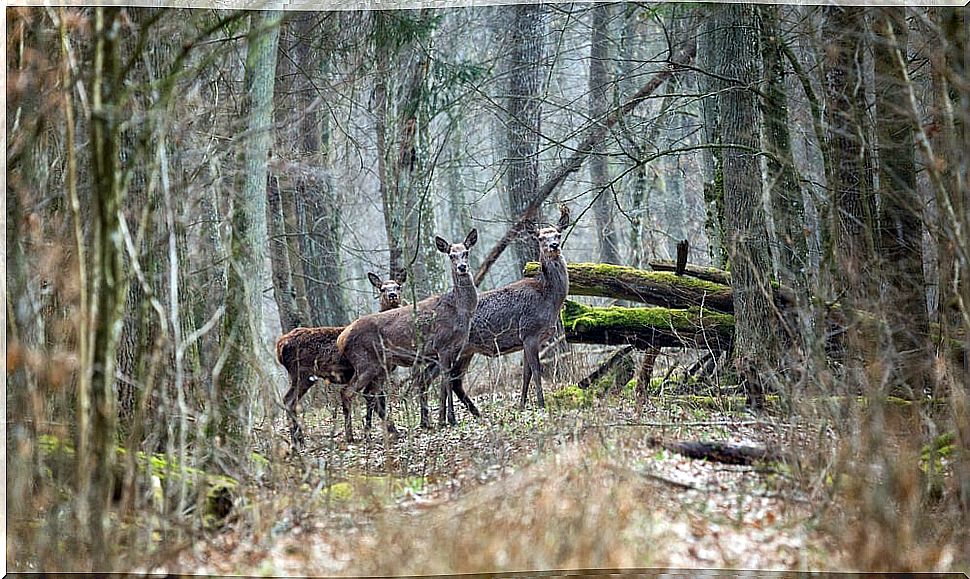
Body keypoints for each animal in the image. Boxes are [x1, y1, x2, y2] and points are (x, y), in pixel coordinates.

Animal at [276, 272, 404, 448]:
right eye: (382, 288)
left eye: (398, 287)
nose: (392, 295)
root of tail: (280, 346)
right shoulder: (379, 371)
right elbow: (377, 400)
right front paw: (388, 432)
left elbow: (379, 401)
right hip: (302, 373)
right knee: (290, 400)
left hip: (300, 375)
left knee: (289, 400)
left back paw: (299, 440)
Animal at [336, 229, 480, 442]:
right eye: (451, 255)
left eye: (466, 252)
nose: (462, 267)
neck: (459, 310)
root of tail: (341, 339)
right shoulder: (443, 346)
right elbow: (445, 383)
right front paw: (449, 420)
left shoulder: (451, 350)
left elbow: (441, 384)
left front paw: (440, 420)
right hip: (365, 362)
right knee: (347, 391)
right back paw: (351, 436)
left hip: (380, 365)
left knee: (369, 394)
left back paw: (378, 433)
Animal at [444, 206, 572, 424]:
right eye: (540, 238)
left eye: (558, 234)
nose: (554, 246)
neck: (549, 299)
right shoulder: (529, 332)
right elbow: (537, 371)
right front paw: (541, 404)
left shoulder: (529, 339)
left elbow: (526, 374)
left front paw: (521, 406)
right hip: (455, 348)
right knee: (446, 378)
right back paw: (452, 419)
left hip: (468, 350)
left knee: (455, 381)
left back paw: (474, 413)